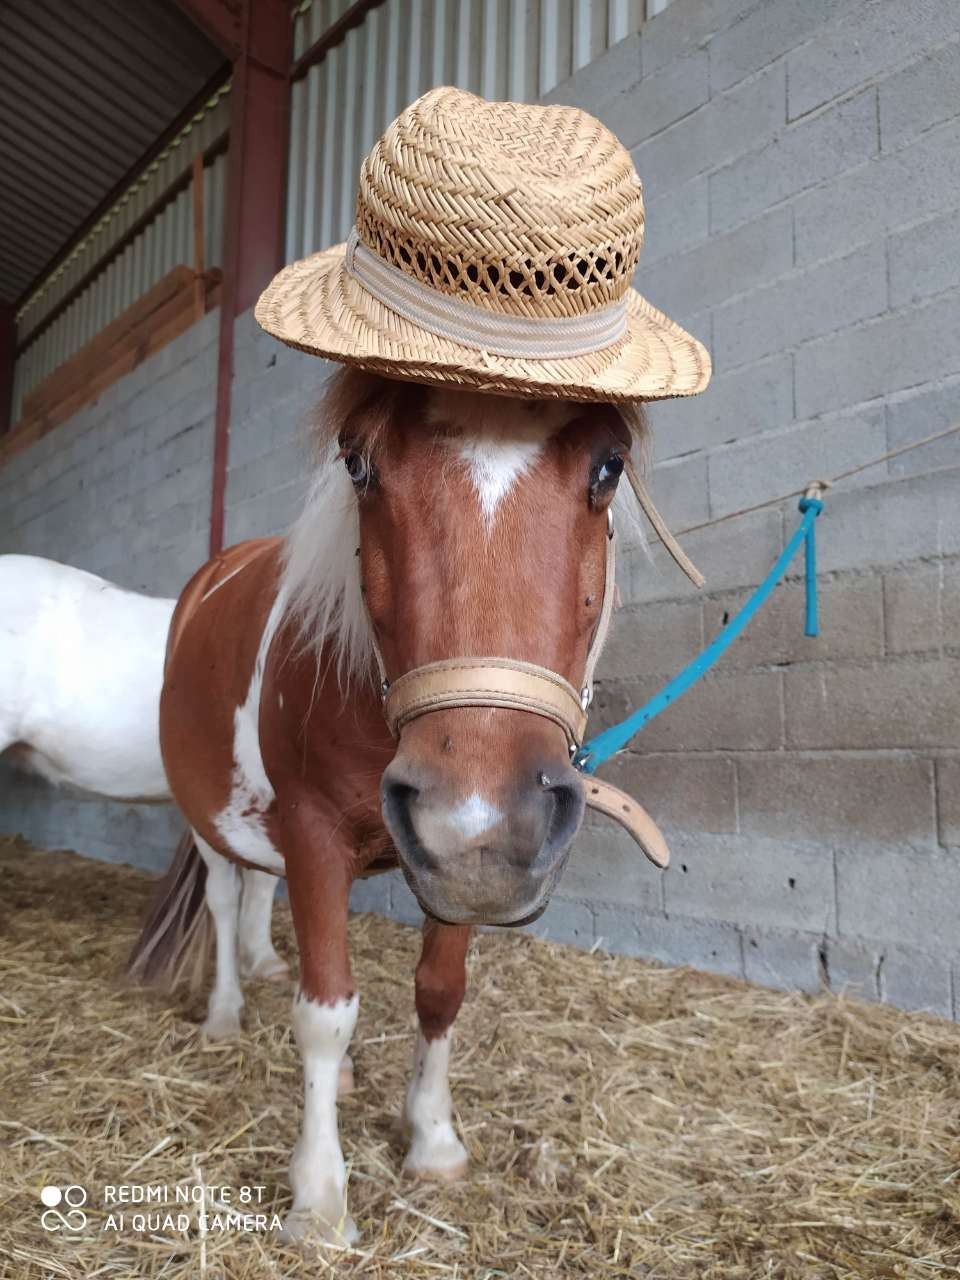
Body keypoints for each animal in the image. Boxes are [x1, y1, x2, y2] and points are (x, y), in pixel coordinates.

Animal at [131, 366, 650, 1244]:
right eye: (357, 462)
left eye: (609, 466)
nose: (484, 808)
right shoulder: (315, 834)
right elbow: (325, 1009)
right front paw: (319, 1196)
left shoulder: (457, 865)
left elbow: (438, 992)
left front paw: (433, 1141)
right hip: (210, 818)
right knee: (226, 896)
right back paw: (228, 1012)